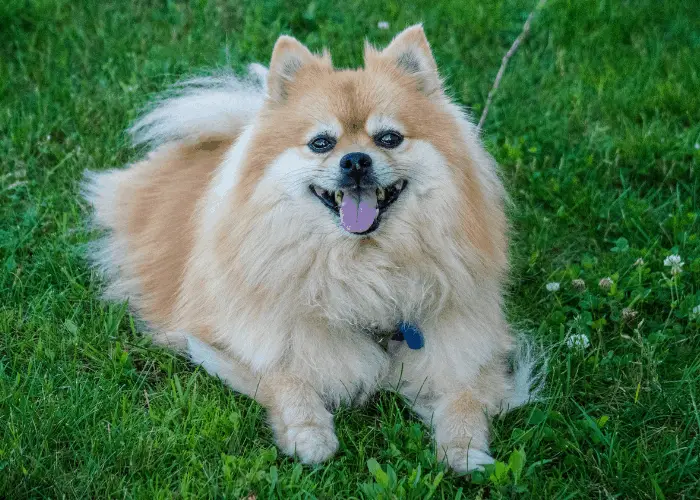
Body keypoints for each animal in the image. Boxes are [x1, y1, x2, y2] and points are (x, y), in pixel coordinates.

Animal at [83, 25, 540, 470]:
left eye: (389, 138)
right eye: (322, 143)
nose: (355, 160)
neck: (364, 268)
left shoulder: (466, 348)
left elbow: (465, 399)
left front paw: (466, 450)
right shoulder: (232, 337)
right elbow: (286, 379)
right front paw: (309, 433)